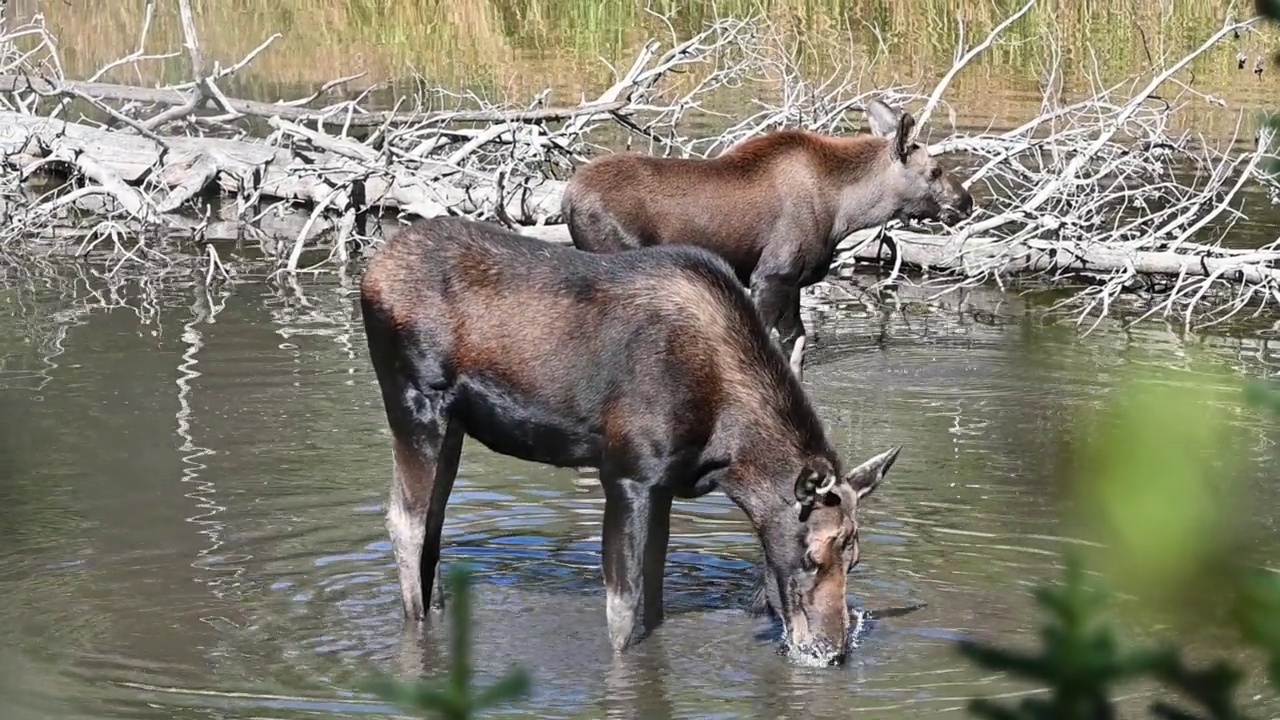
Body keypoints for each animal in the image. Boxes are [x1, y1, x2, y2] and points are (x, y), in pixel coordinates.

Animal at [355, 213, 906, 666]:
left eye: (855, 559)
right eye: (811, 556)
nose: (832, 651)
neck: (729, 455)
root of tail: (372, 270)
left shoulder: (664, 485)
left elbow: (655, 598)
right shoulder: (627, 474)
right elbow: (623, 610)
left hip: (453, 425)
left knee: (433, 522)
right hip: (416, 404)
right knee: (405, 520)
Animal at [560, 99, 967, 386]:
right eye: (934, 170)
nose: (966, 202)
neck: (845, 210)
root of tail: (567, 200)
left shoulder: (793, 283)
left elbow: (797, 347)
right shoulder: (771, 276)